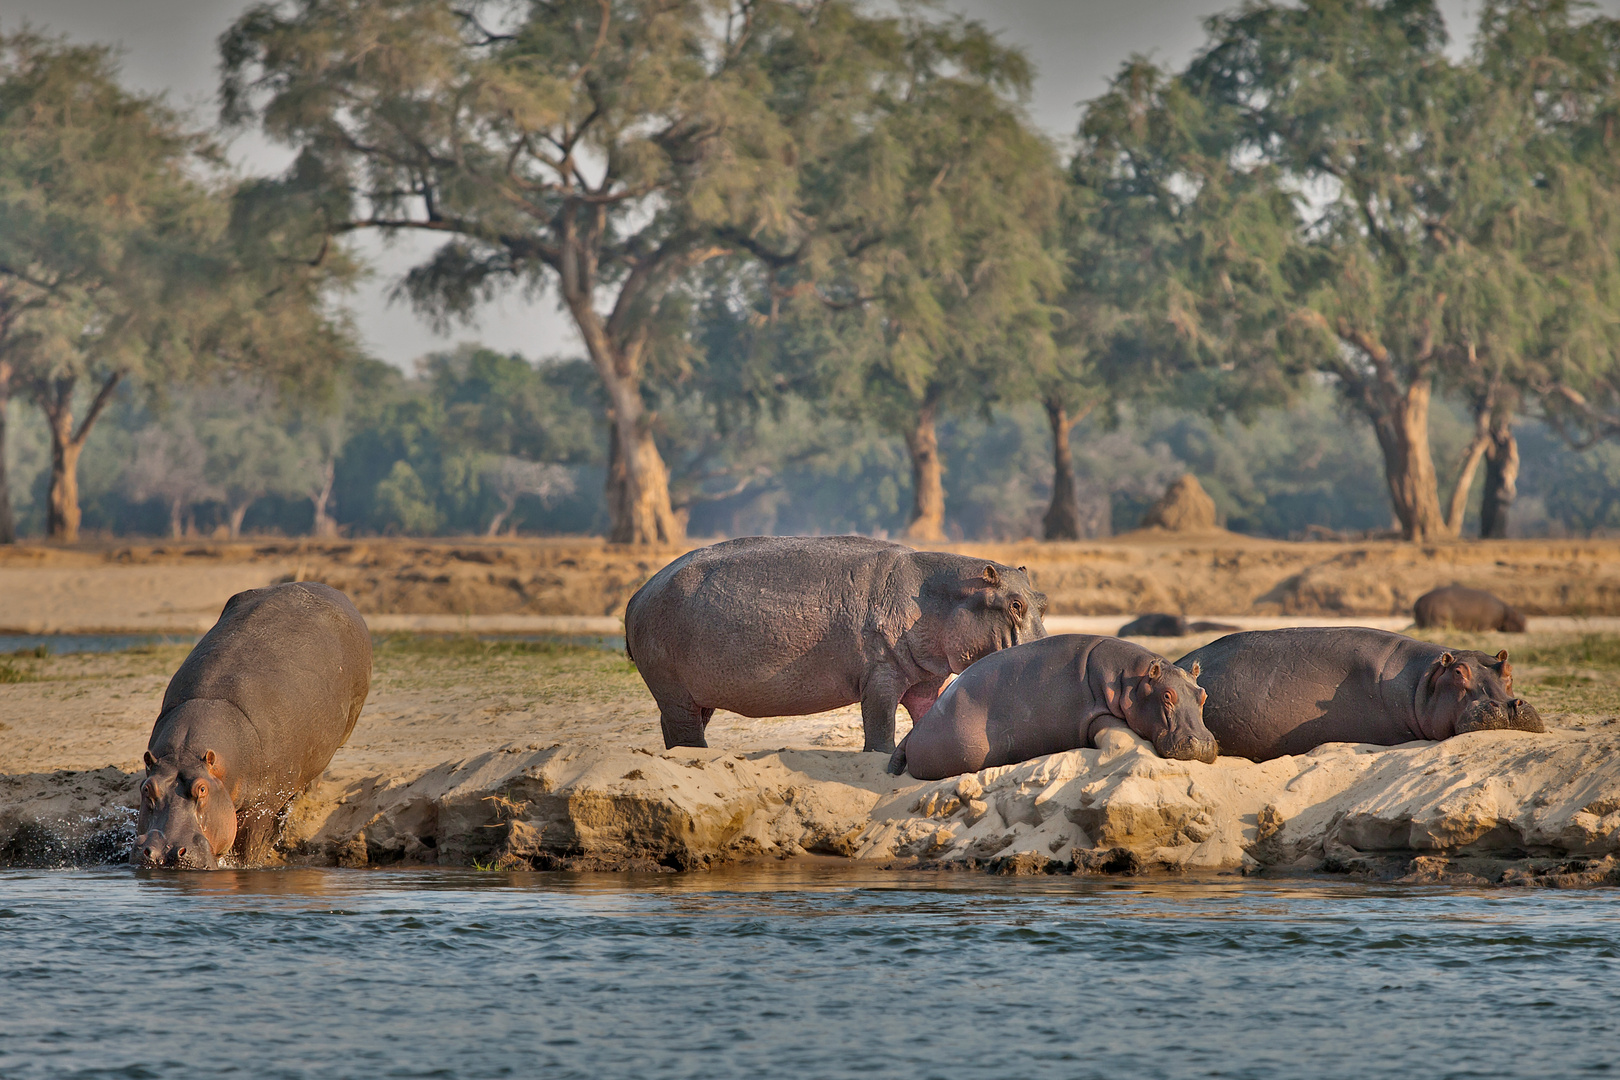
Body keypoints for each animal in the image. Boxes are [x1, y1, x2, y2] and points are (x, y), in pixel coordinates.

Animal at [131, 582, 370, 867]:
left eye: (202, 789)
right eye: (147, 788)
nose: (163, 852)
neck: (187, 755)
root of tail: (331, 590)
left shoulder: (262, 804)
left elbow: (250, 846)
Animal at [618, 534, 1049, 751]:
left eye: (1042, 600)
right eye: (1015, 604)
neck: (937, 595)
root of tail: (637, 594)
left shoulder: (926, 678)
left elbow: (927, 714)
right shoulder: (880, 676)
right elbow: (880, 726)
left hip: (693, 694)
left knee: (678, 729)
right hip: (672, 687)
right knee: (684, 732)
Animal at [887, 628, 1218, 780]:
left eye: (1202, 694)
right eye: (1167, 695)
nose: (1202, 743)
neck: (1132, 682)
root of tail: (913, 733)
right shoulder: (1094, 713)